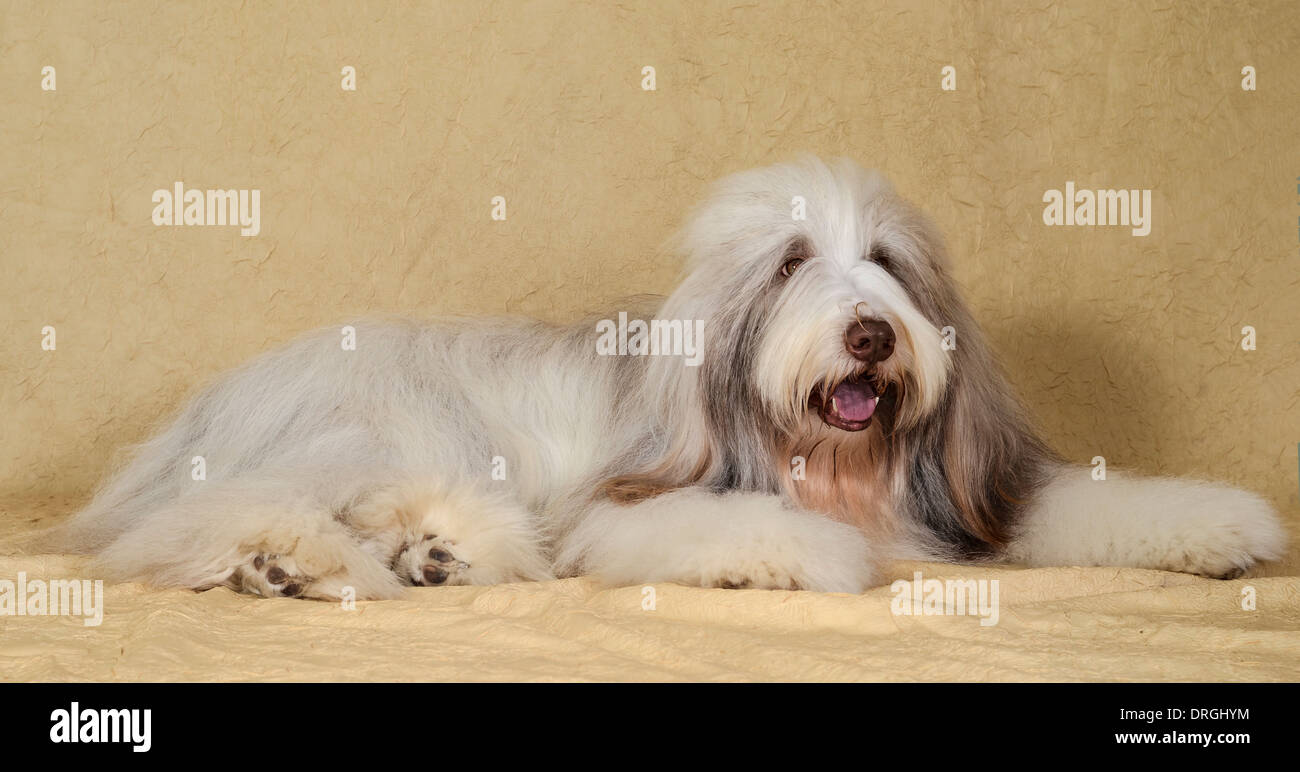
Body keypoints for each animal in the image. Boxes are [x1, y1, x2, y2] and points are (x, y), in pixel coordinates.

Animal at [55, 155, 1284, 595]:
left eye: (887, 266)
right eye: (790, 263)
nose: (870, 337)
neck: (832, 464)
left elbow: (1086, 504)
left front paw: (1216, 525)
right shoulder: (630, 508)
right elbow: (744, 530)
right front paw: (822, 556)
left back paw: (437, 554)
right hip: (379, 427)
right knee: (215, 516)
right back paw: (286, 561)